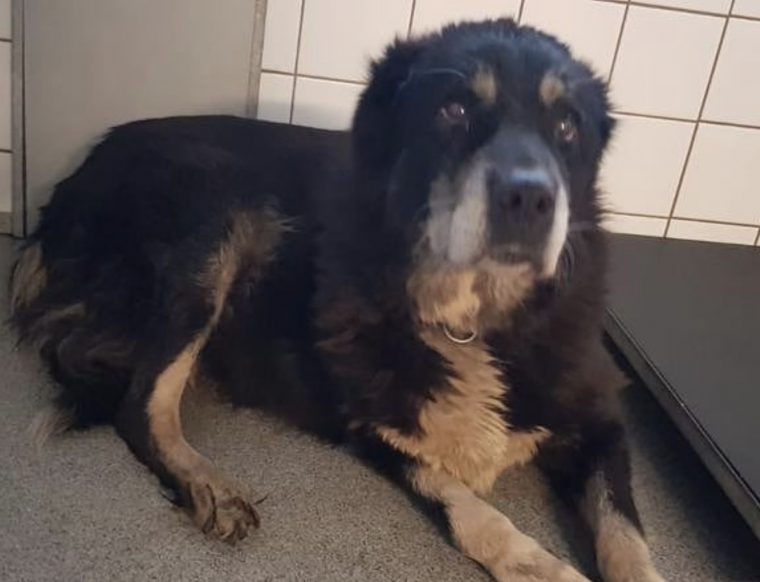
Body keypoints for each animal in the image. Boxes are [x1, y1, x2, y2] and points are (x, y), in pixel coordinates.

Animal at [10, 19, 664, 582]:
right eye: (453, 110)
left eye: (567, 126)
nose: (530, 198)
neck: (474, 322)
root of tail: (66, 190)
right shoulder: (375, 428)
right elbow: (469, 510)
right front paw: (534, 562)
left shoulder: (601, 423)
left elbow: (627, 536)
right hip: (218, 216)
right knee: (140, 404)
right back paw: (209, 484)